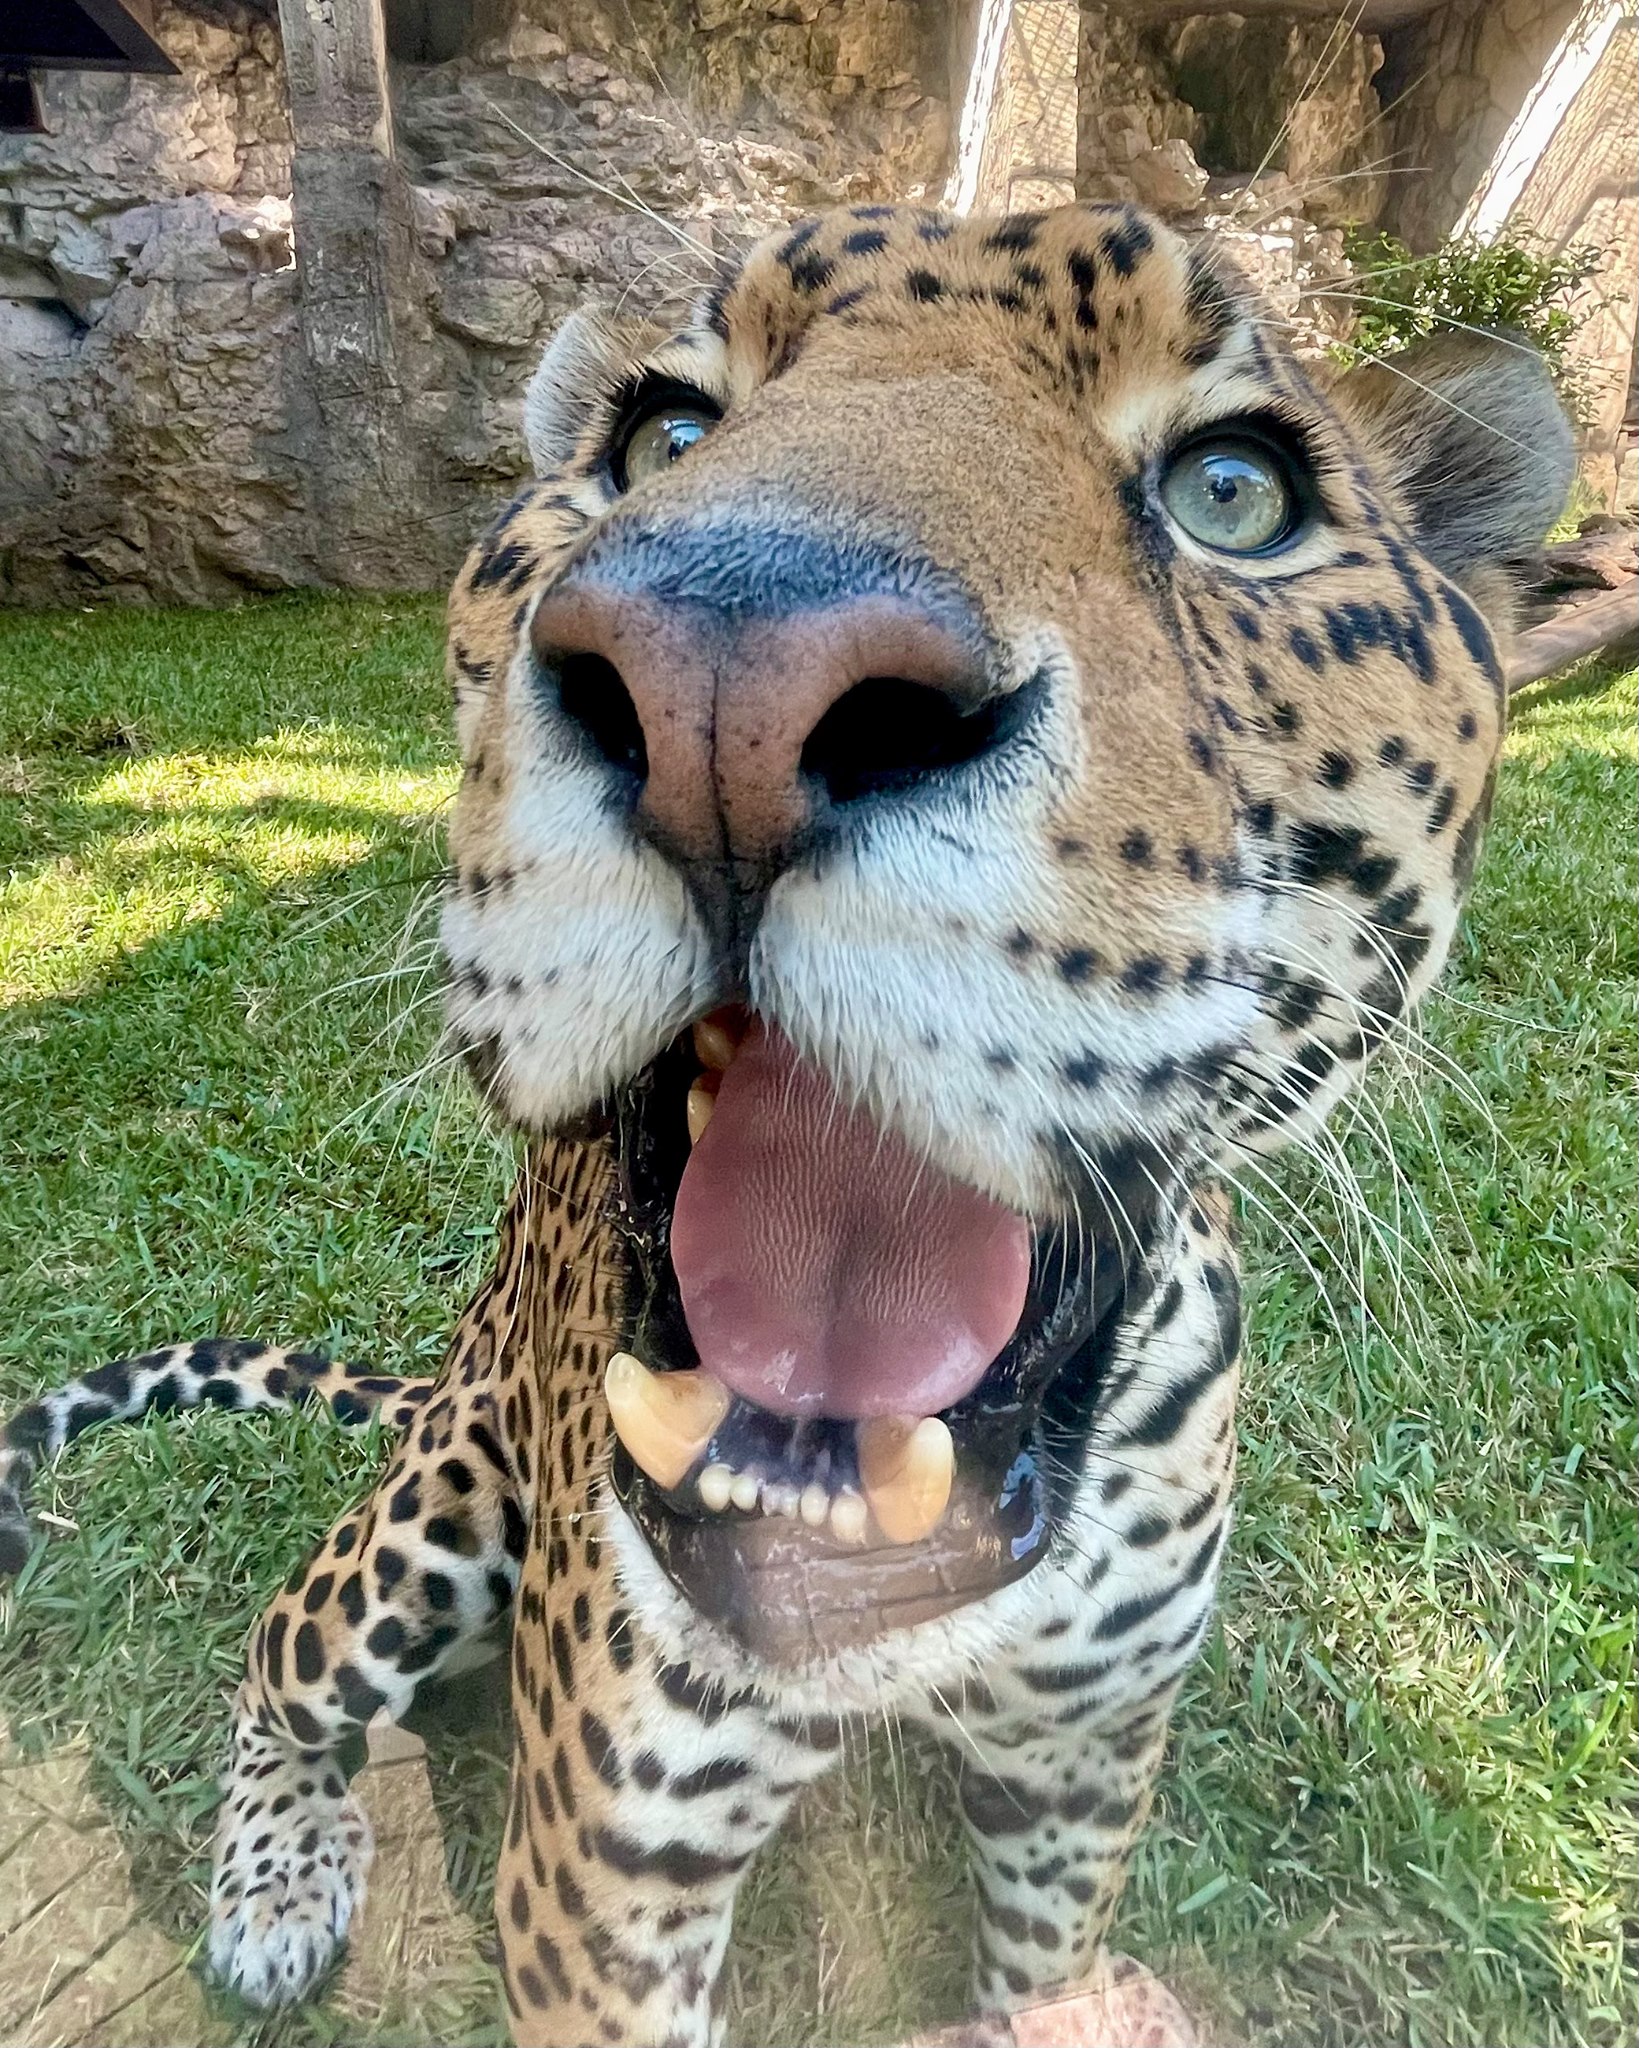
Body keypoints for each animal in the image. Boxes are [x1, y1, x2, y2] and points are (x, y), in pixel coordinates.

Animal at [0, 203, 1565, 2048]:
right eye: (660, 440)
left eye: (1232, 491)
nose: (723, 682)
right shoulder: (603, 1877)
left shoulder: (1084, 1767)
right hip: (431, 1517)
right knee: (278, 1657)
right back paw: (275, 1888)